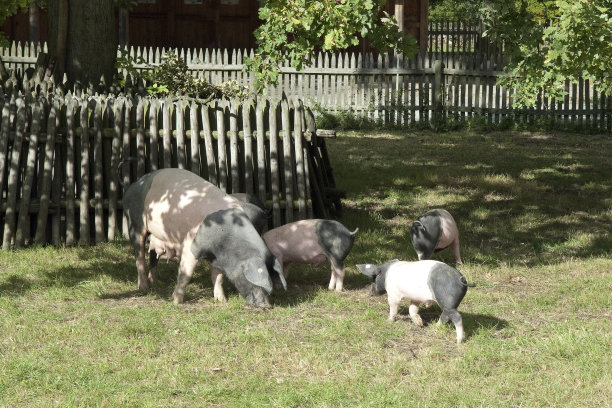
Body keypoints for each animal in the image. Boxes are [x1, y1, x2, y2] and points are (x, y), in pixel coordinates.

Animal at [123, 167, 290, 308]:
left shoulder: (217, 256)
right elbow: (185, 274)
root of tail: (133, 186)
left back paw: (154, 282)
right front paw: (176, 301)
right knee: (139, 255)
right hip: (135, 222)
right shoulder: (190, 245)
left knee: (153, 255)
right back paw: (144, 288)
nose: (267, 306)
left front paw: (222, 300)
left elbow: (218, 277)